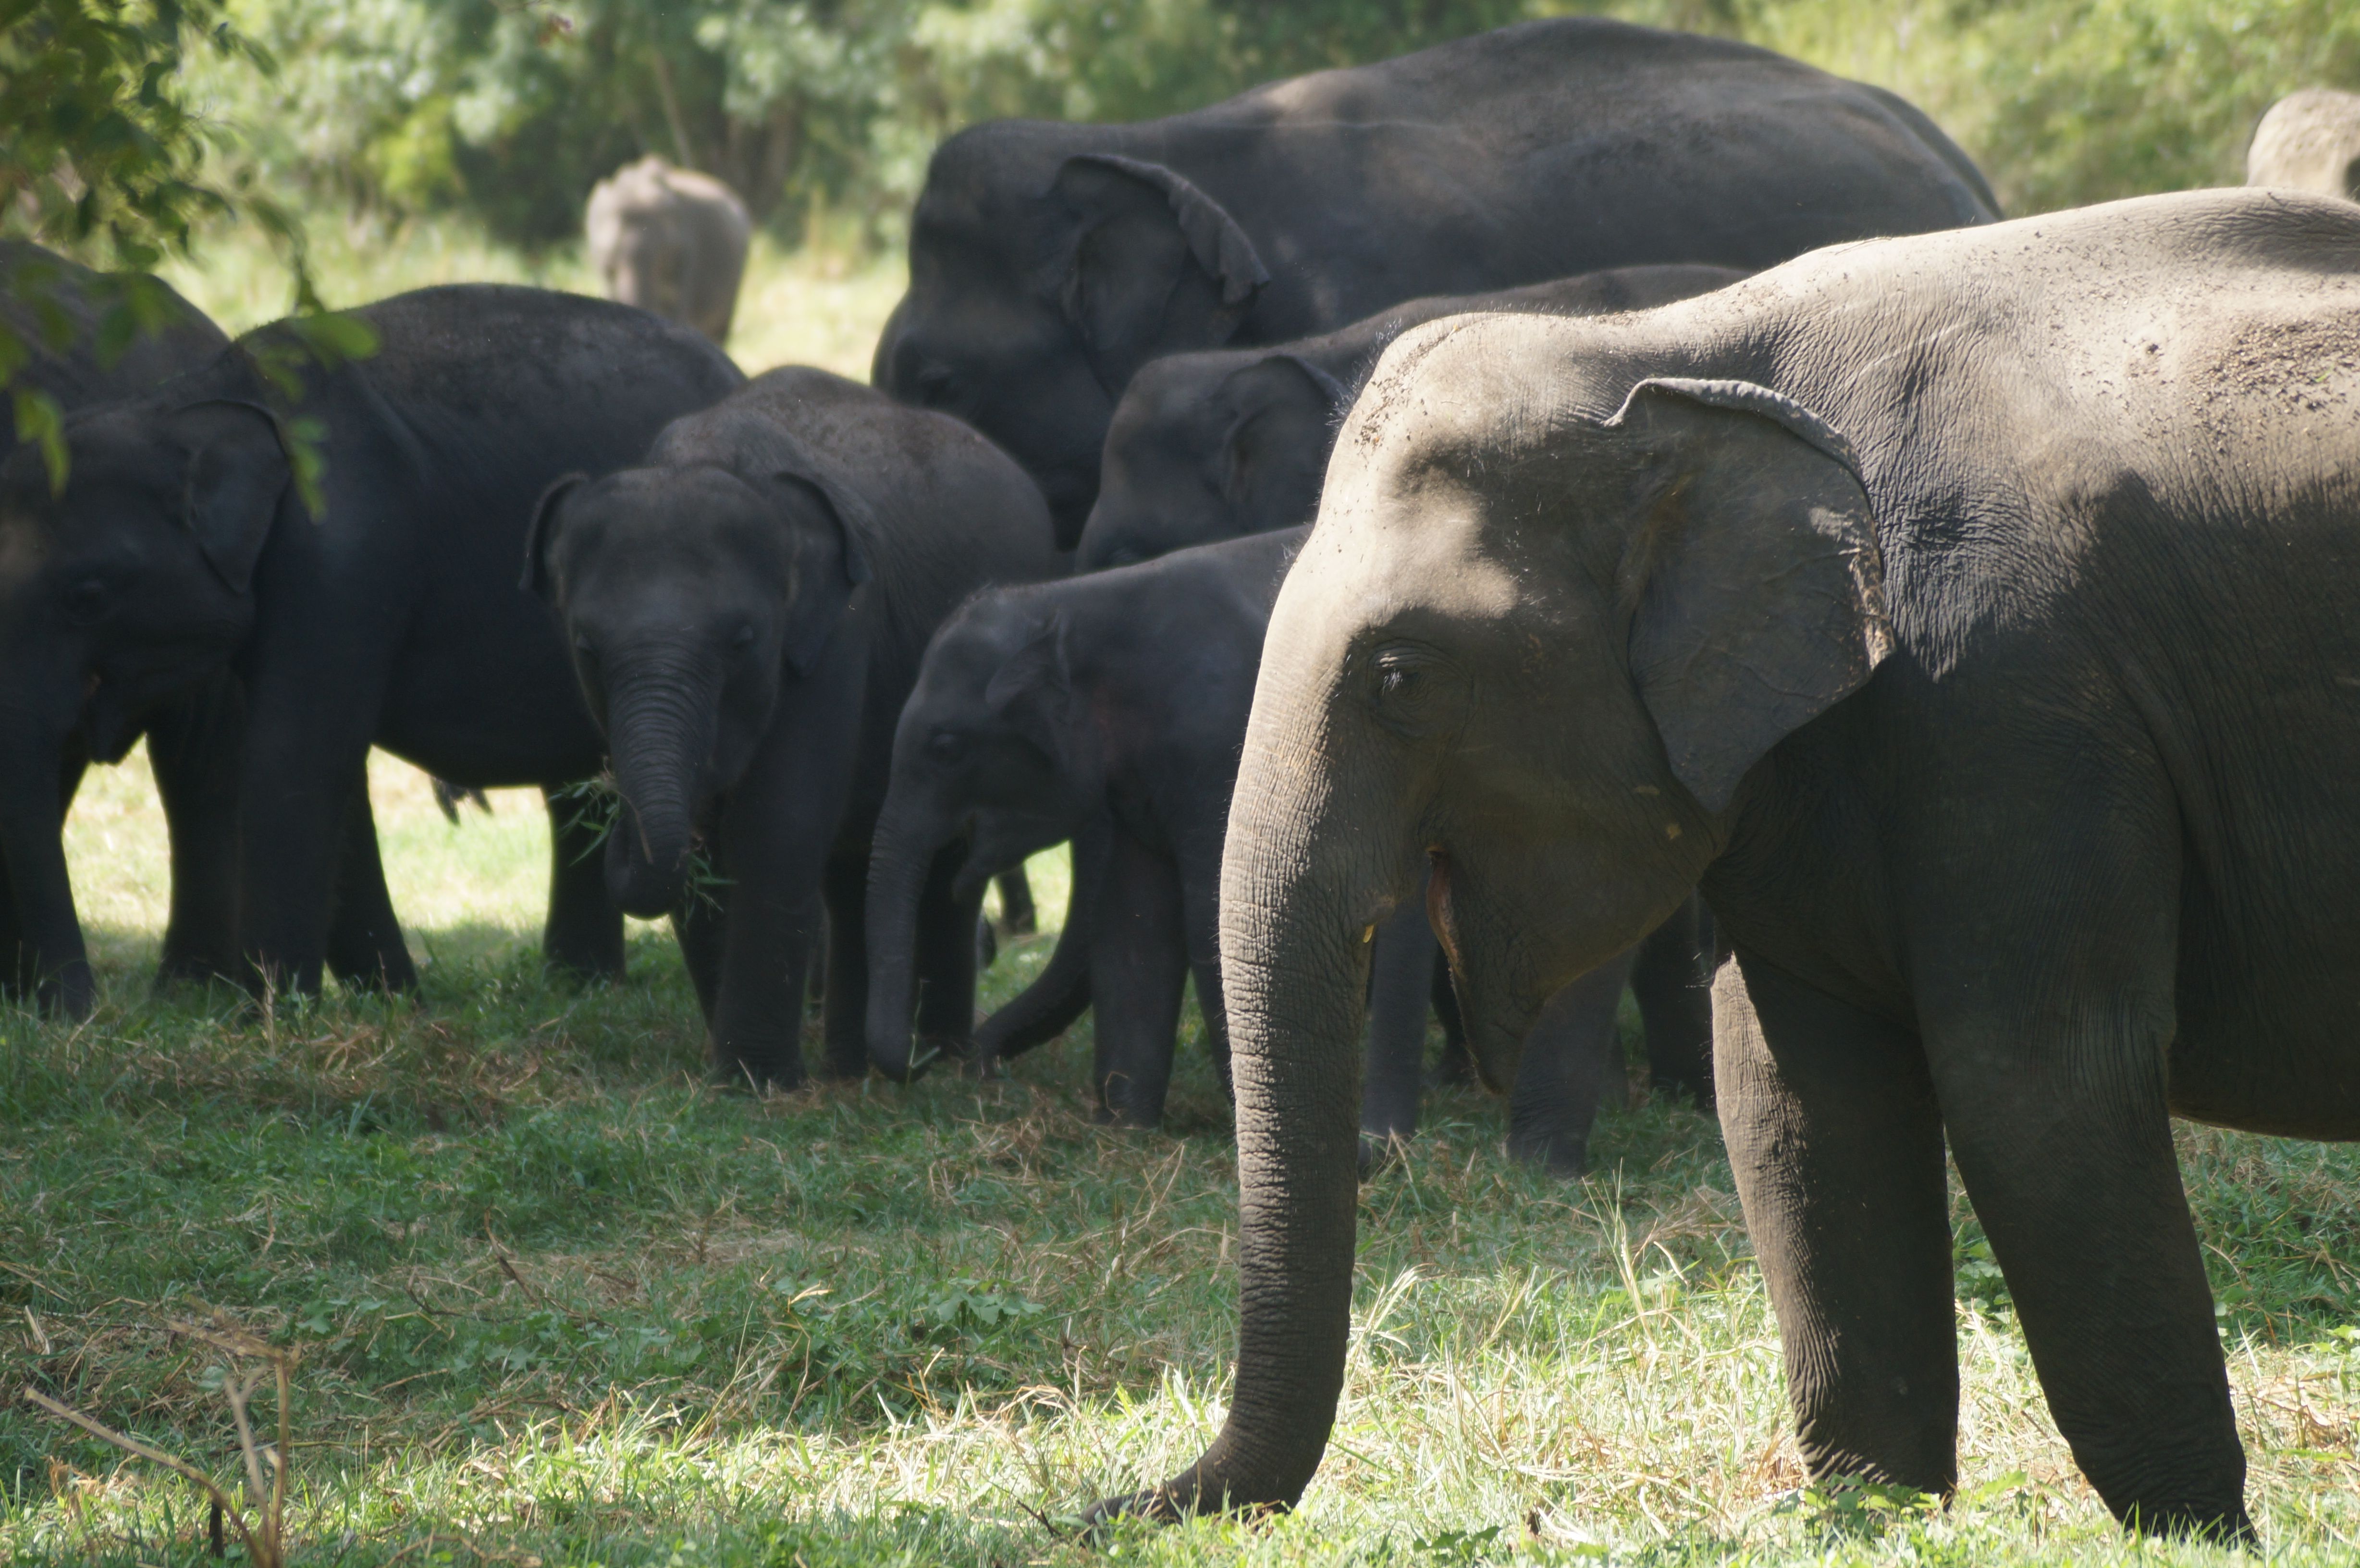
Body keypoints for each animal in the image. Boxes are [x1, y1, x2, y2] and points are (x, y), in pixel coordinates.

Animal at [0, 284, 743, 1013]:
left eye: (87, 595)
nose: (78, 1012)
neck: (192, 402)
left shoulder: (344, 555)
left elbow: (292, 754)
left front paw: (271, 1019)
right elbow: (317, 768)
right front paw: (393, 1002)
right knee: (576, 786)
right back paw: (578, 987)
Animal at [524, 367, 1067, 1088]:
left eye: (743, 640)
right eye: (586, 648)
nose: (612, 808)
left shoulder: (836, 637)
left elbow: (779, 825)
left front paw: (753, 1084)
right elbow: (711, 857)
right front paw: (738, 1074)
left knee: (946, 864)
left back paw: (942, 1061)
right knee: (852, 869)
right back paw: (849, 1071)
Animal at [864, 526, 1708, 1155]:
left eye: (945, 746)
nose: (951, 1066)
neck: (1073, 605)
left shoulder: (1213, 743)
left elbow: (1208, 914)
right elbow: (1135, 931)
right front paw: (1127, 1129)